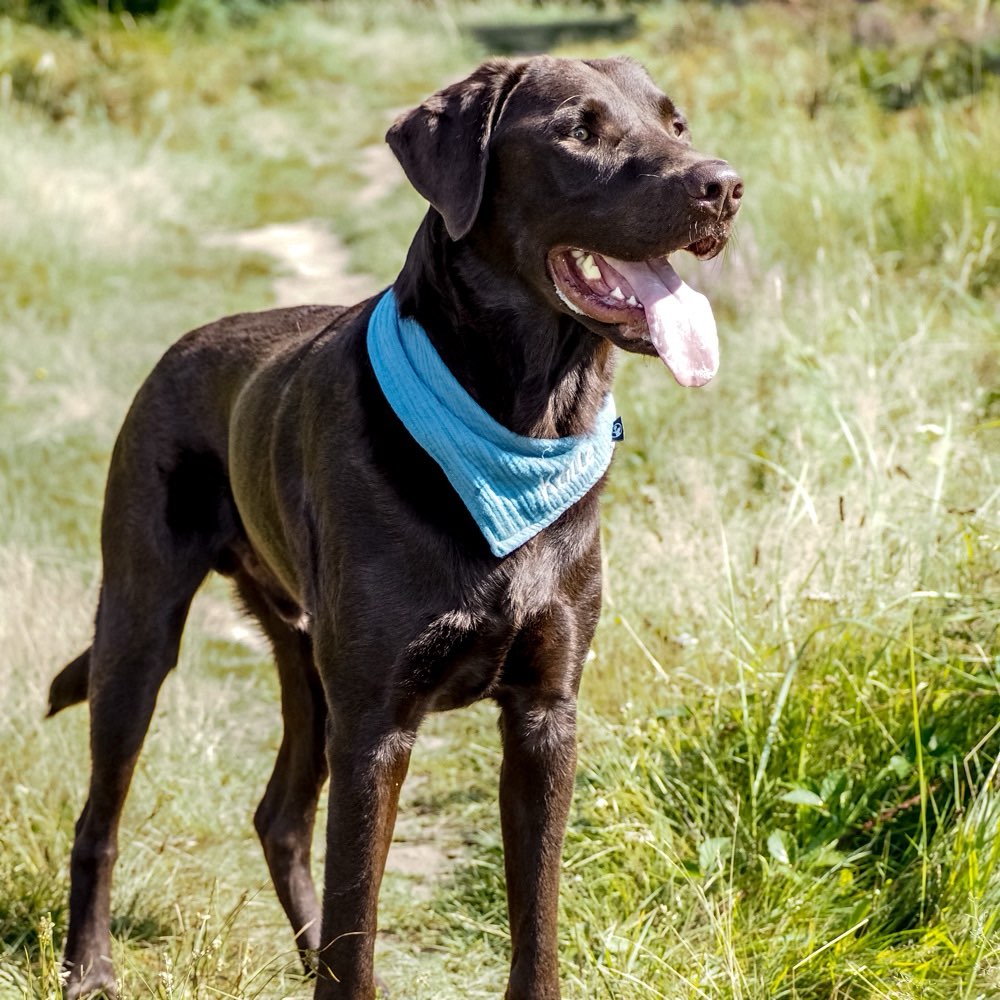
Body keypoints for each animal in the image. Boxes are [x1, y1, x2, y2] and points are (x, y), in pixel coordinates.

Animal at [47, 54, 740, 1000]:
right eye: (579, 131)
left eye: (676, 123)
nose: (725, 185)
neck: (521, 424)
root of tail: (181, 347)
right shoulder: (377, 725)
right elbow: (359, 933)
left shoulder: (545, 715)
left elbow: (535, 922)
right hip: (139, 629)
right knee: (101, 818)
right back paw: (89, 967)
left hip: (305, 661)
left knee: (279, 815)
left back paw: (297, 948)